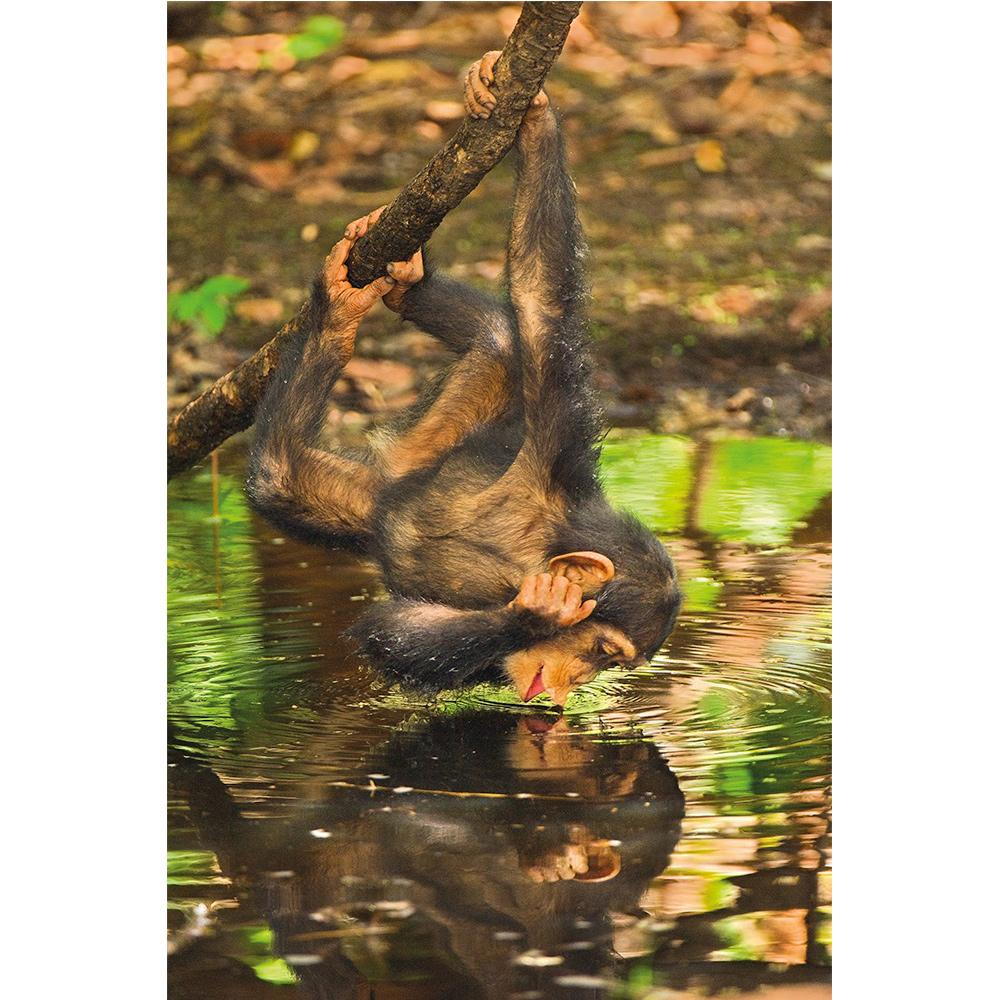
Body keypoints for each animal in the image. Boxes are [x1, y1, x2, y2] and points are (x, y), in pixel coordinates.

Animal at [246, 51, 682, 707]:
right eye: (604, 652)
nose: (581, 681)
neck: (529, 550)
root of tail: (397, 477)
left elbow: (397, 628)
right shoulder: (556, 439)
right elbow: (540, 298)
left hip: (384, 476)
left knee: (496, 338)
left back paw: (401, 285)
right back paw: (338, 312)